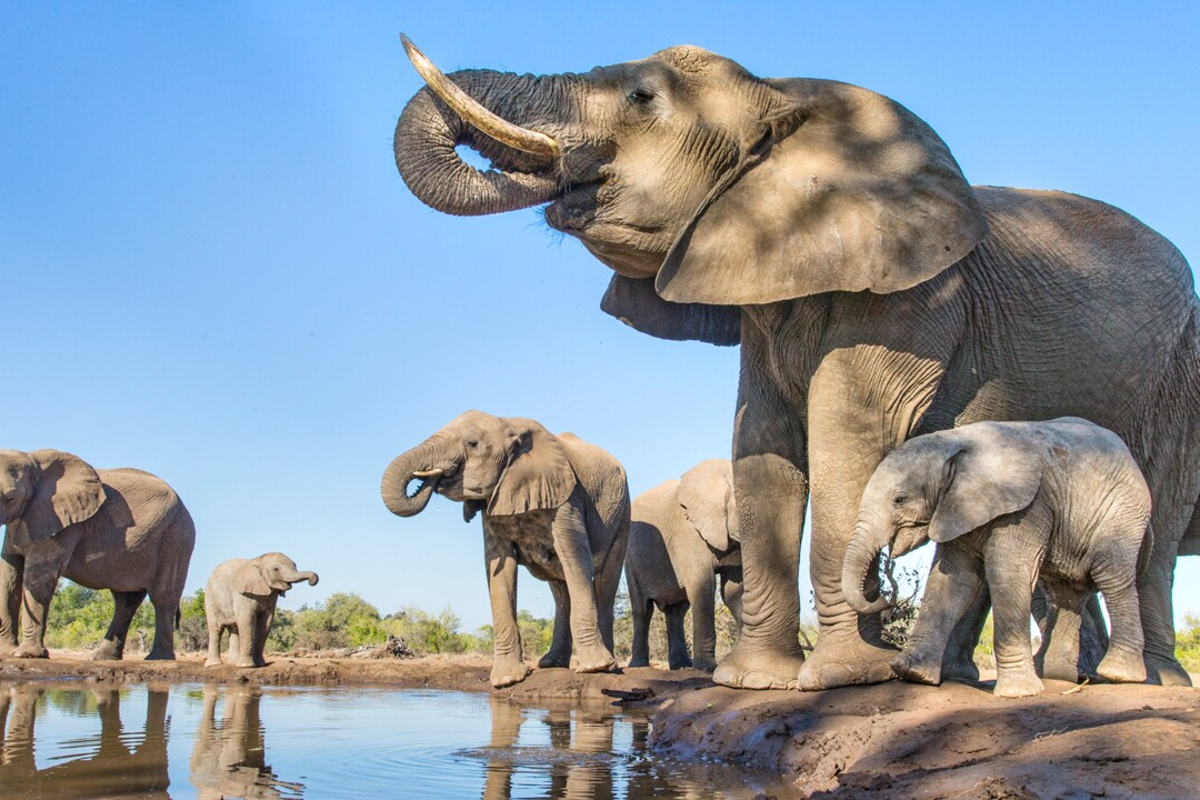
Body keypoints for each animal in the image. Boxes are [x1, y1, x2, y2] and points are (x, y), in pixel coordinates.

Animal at [0, 449, 196, 660]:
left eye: (11, 499)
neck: (31, 459)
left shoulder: (63, 523)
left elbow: (38, 578)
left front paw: (25, 654)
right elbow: (8, 578)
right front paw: (7, 651)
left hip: (175, 541)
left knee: (162, 598)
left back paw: (157, 658)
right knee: (125, 600)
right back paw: (102, 657)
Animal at [381, 410, 630, 687]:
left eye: (472, 443)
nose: (430, 479)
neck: (507, 424)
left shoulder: (568, 498)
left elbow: (575, 560)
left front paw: (594, 668)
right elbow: (499, 568)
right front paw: (506, 680)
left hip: (622, 512)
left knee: (604, 582)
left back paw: (610, 667)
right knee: (560, 588)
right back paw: (551, 664)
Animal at [626, 459, 742, 671]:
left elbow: (732, 590)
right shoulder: (688, 532)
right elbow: (704, 586)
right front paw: (708, 669)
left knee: (677, 611)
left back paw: (681, 666)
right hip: (630, 557)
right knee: (643, 609)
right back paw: (638, 666)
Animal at [842, 418, 1152, 698]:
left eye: (899, 500)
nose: (885, 594)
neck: (955, 442)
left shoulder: (1026, 509)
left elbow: (1007, 574)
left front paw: (1018, 693)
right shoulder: (958, 508)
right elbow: (953, 581)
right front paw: (911, 672)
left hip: (1121, 512)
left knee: (1111, 576)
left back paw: (1118, 674)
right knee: (1067, 592)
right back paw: (1052, 675)